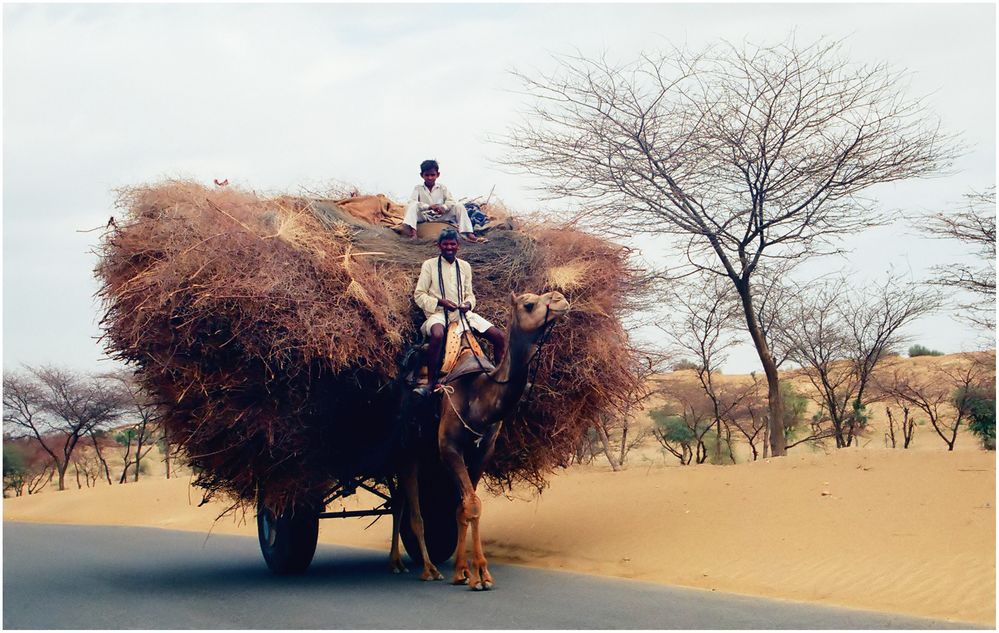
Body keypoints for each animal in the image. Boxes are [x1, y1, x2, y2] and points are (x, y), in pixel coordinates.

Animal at [388, 290, 572, 588]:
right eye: (528, 304)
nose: (560, 299)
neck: (480, 395)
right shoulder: (449, 447)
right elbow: (472, 505)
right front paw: (481, 575)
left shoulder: (483, 451)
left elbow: (463, 506)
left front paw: (463, 571)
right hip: (407, 448)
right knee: (413, 512)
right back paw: (428, 569)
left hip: (423, 452)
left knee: (399, 502)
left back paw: (397, 563)